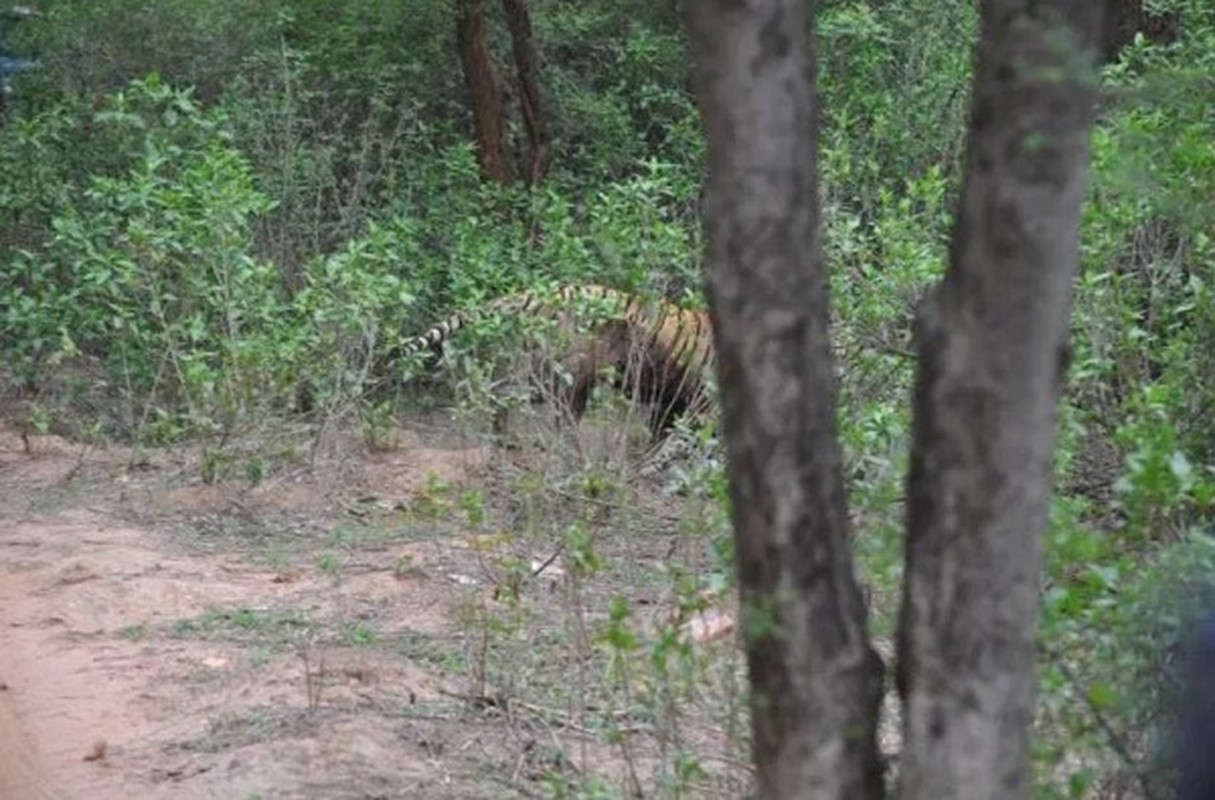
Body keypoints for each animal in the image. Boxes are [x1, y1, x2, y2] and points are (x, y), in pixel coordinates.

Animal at [398, 284, 719, 476]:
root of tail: (534, 293)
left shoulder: (675, 402)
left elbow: (666, 434)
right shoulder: (703, 405)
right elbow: (679, 441)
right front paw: (650, 467)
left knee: (501, 392)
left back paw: (508, 441)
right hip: (562, 375)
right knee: (544, 411)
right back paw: (575, 459)